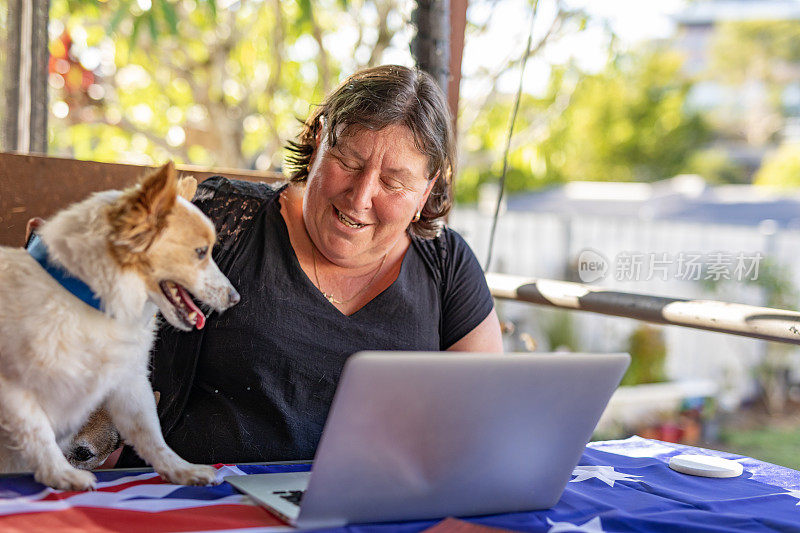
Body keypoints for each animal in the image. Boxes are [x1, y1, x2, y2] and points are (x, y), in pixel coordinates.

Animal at [0, 163, 238, 490]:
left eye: (84, 454)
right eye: (201, 252)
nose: (235, 297)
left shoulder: (130, 382)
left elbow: (152, 436)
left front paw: (182, 470)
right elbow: (37, 435)